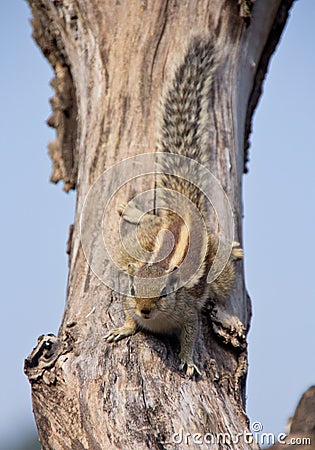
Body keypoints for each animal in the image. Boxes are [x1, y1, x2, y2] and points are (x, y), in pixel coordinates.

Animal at [104, 37, 244, 376]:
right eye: (133, 290)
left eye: (165, 293)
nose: (145, 310)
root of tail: (186, 214)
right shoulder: (129, 303)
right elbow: (127, 317)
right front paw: (123, 329)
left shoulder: (189, 313)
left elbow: (192, 334)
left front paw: (189, 360)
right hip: (142, 238)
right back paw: (131, 212)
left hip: (218, 271)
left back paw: (233, 250)